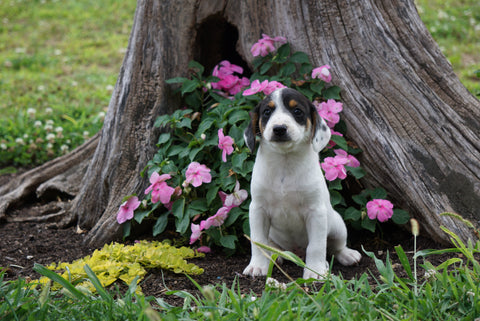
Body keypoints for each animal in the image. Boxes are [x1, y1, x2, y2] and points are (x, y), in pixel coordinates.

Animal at [244, 87, 360, 278]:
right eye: (267, 112)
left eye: (297, 111)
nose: (279, 129)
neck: (285, 162)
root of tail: (295, 252)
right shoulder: (257, 210)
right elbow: (257, 241)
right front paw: (258, 266)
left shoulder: (316, 212)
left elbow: (316, 246)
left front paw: (316, 272)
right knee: (271, 245)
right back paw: (275, 256)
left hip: (337, 226)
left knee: (336, 247)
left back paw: (346, 255)